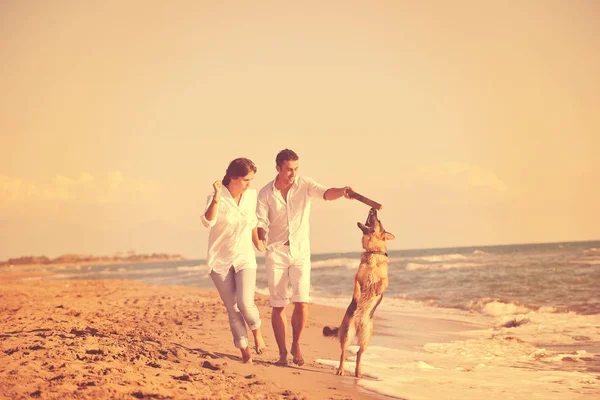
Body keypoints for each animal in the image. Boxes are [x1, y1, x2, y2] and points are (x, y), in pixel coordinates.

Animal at [324, 208, 394, 376]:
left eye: (378, 221)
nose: (373, 209)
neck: (373, 252)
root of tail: (358, 325)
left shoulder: (385, 278)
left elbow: (382, 282)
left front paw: (377, 289)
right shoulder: (357, 278)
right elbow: (356, 286)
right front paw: (357, 296)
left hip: (365, 338)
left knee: (358, 353)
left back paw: (358, 371)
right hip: (347, 333)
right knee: (343, 352)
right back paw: (341, 369)